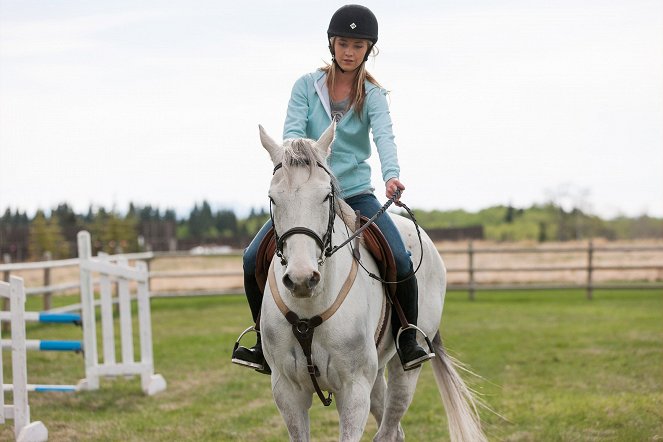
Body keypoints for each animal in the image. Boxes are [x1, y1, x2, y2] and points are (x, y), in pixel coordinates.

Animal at [260, 123, 488, 442]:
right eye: (273, 198)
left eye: (326, 196)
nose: (302, 278)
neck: (308, 310)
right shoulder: (287, 392)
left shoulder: (354, 391)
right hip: (376, 373)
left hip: (405, 370)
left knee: (389, 429)